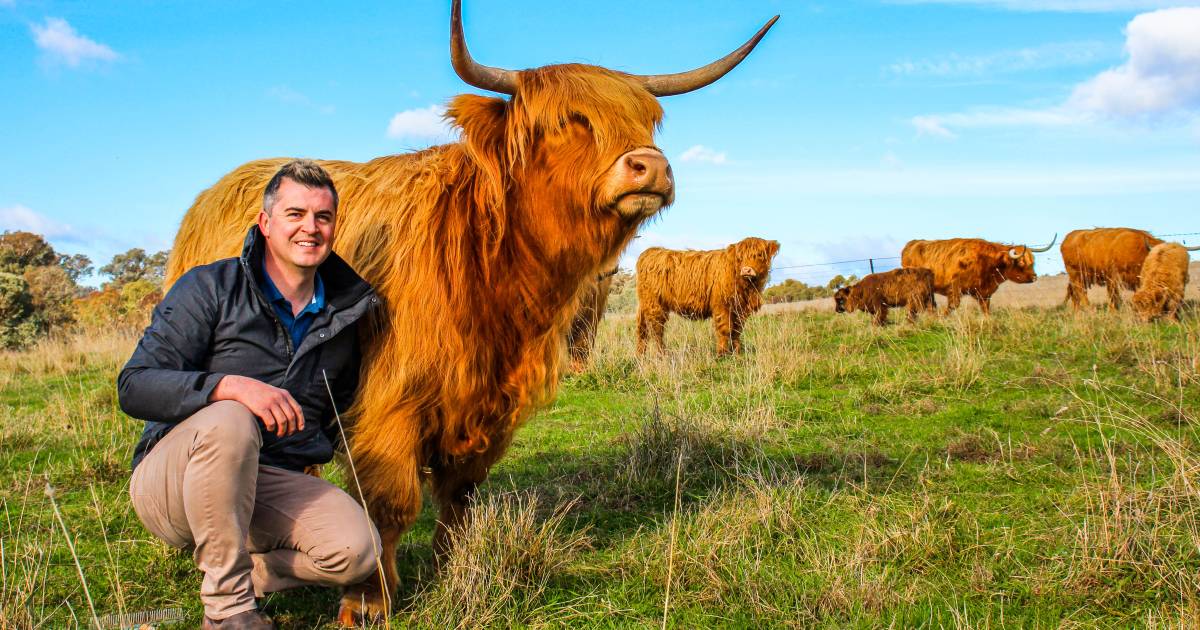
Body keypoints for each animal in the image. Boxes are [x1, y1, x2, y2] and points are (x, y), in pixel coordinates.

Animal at [633, 235, 782, 352]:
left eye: (759, 255)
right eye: (740, 257)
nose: (746, 270)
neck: (747, 287)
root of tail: (651, 251)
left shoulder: (740, 309)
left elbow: (736, 331)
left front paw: (737, 353)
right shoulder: (722, 305)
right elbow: (725, 329)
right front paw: (722, 355)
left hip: (646, 304)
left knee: (642, 330)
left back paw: (641, 357)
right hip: (654, 305)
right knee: (656, 330)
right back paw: (662, 355)